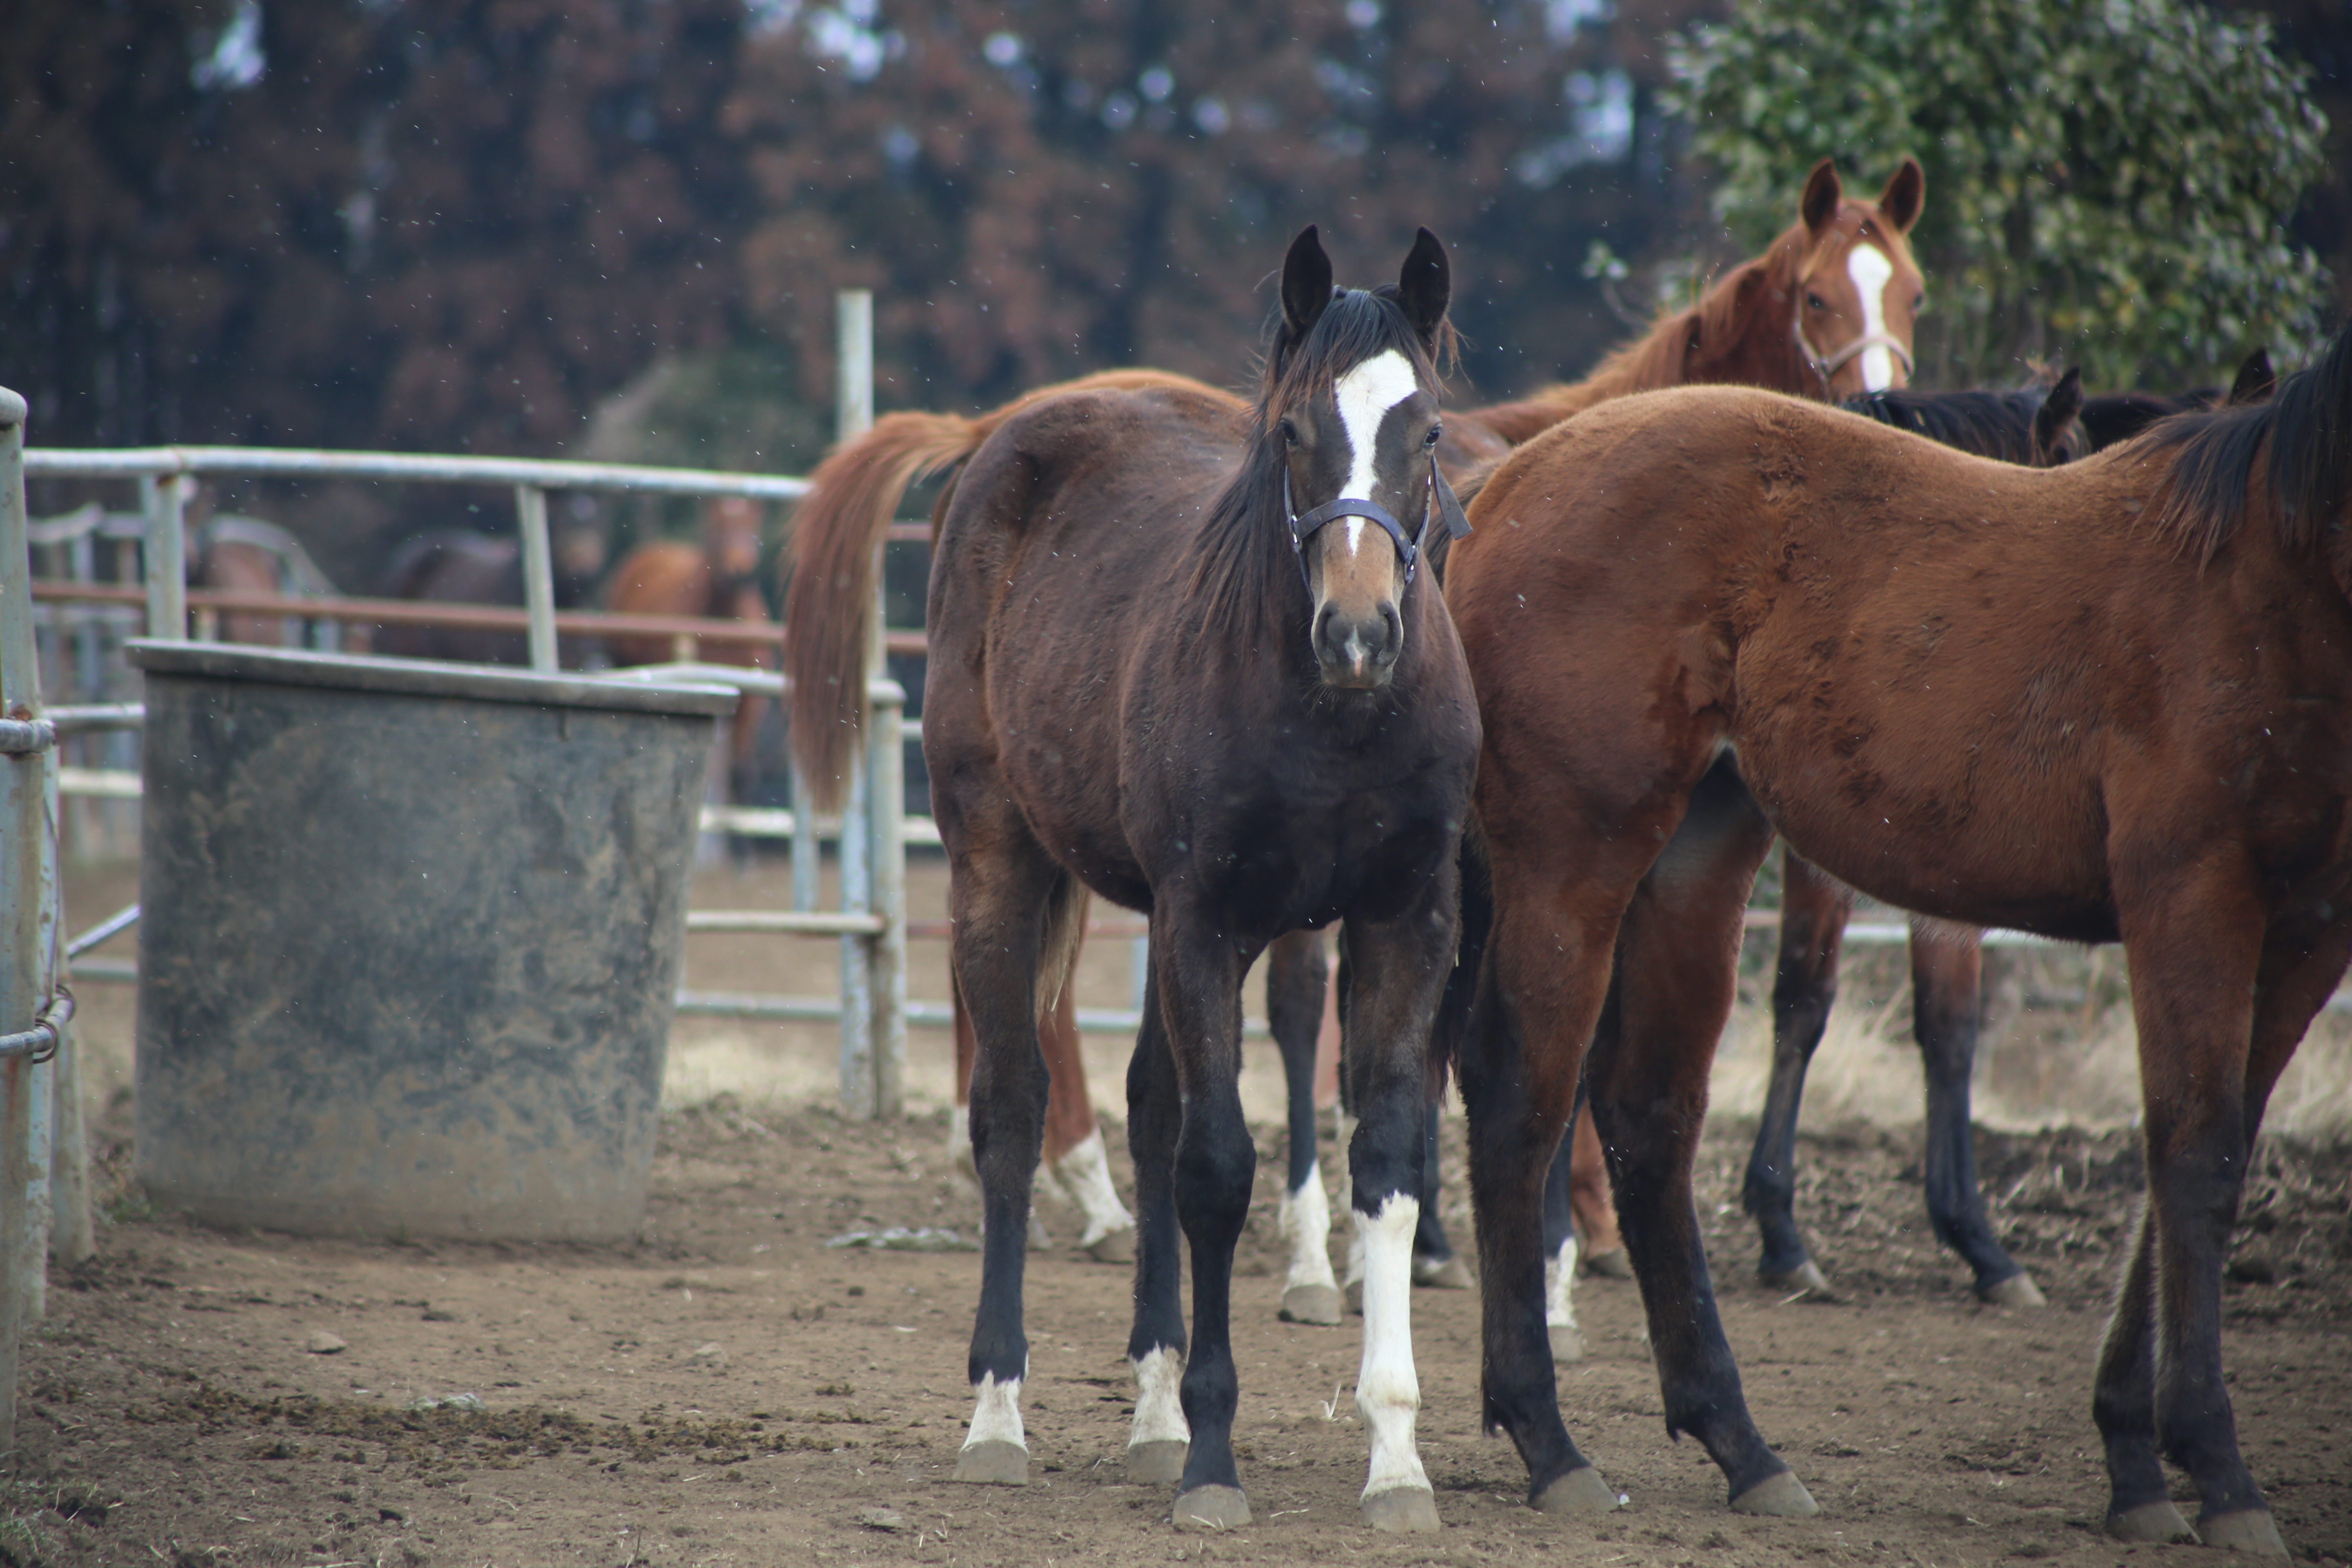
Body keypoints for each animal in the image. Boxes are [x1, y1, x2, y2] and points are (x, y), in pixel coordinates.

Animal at [1439, 334, 2352, 1561]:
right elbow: (2194, 1162)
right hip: (1572, 858)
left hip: (1695, 856)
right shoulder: (2192, 896)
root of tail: (1508, 480)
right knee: (1521, 1100)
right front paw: (2212, 1464)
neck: (2269, 571)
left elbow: (2205, 1161)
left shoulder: (2305, 930)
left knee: (1648, 1116)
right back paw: (1548, 1437)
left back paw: (1737, 1439)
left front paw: (2134, 1451)